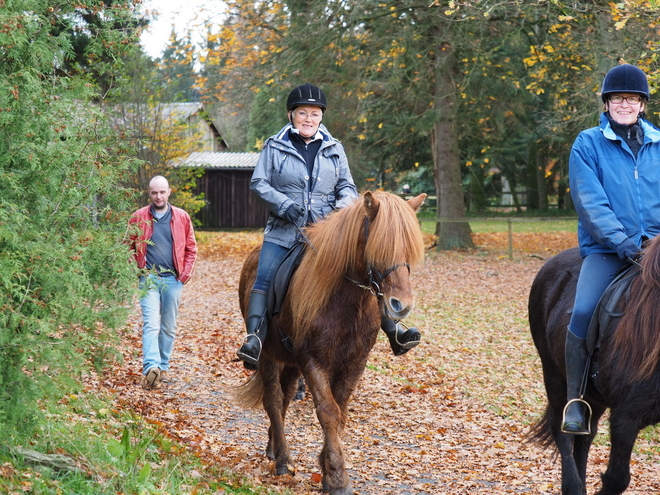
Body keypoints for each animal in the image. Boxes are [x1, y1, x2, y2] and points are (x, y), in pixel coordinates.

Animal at [235, 191, 426, 495]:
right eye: (378, 248)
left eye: (409, 249)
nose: (402, 306)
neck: (346, 300)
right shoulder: (313, 361)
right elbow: (328, 411)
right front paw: (337, 478)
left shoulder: (355, 363)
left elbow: (340, 411)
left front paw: (326, 467)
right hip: (268, 357)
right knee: (274, 401)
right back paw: (283, 461)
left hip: (290, 362)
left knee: (286, 397)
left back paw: (274, 447)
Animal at [528, 238, 660, 494]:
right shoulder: (625, 418)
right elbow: (617, 478)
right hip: (555, 376)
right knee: (561, 430)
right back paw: (572, 486)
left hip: (592, 394)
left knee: (584, 438)